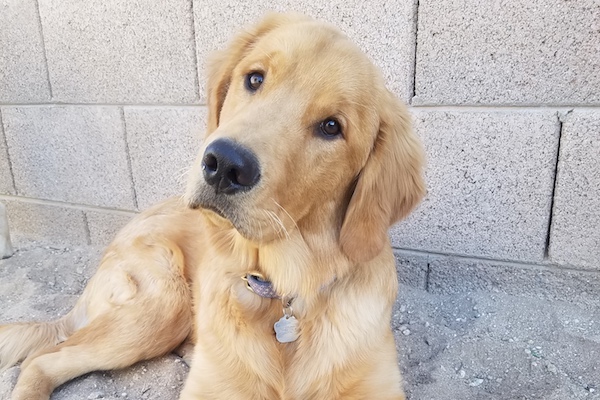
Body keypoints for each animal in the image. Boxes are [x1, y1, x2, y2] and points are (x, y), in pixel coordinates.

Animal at [0, 12, 422, 400]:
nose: (224, 165)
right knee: (42, 359)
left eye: (332, 126)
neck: (282, 290)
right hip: (162, 303)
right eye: (255, 78)